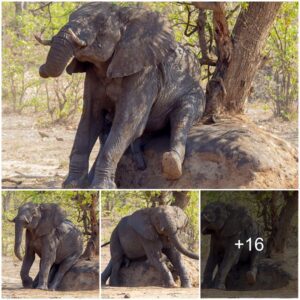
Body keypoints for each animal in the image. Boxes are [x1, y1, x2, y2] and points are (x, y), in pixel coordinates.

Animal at [34, 2, 204, 189]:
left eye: (101, 24)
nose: (41, 69)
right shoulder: (93, 74)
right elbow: (90, 120)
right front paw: (73, 185)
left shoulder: (144, 73)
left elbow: (127, 121)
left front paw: (101, 187)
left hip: (194, 92)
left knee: (183, 116)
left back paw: (172, 165)